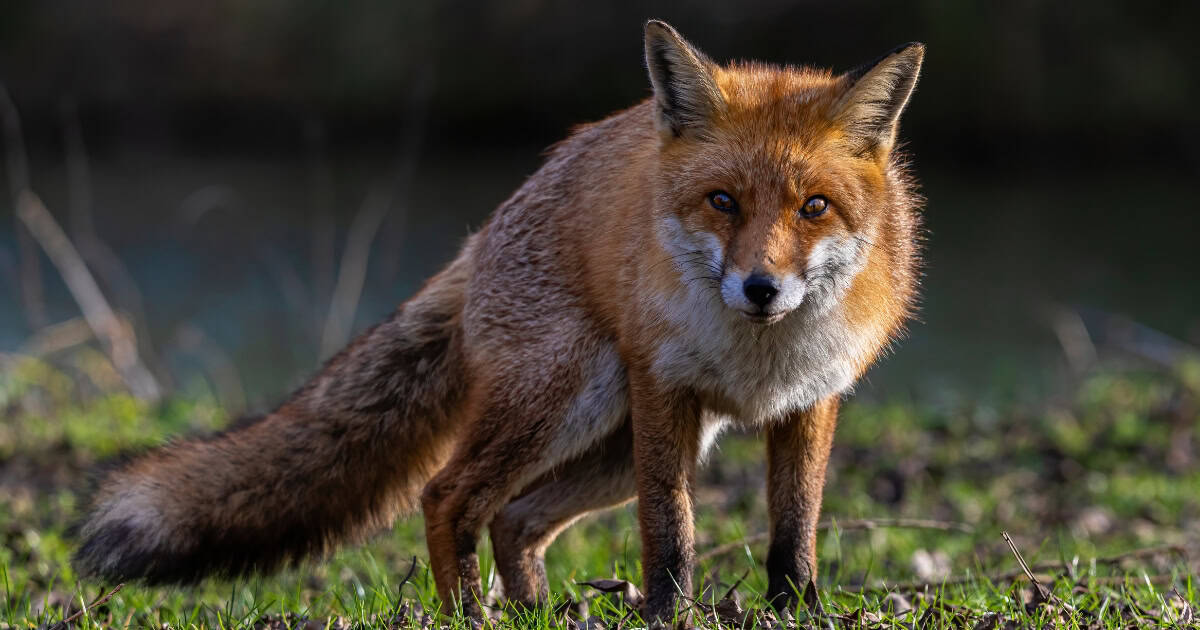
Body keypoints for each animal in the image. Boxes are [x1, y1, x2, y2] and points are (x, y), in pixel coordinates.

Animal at [74, 20, 924, 622]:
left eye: (814, 207)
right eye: (723, 201)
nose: (760, 288)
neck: (759, 358)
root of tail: (483, 232)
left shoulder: (811, 401)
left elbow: (794, 532)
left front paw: (793, 611)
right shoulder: (664, 390)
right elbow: (670, 531)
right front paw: (666, 615)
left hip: (613, 444)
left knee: (515, 517)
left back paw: (536, 611)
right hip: (571, 403)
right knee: (449, 496)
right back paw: (470, 615)